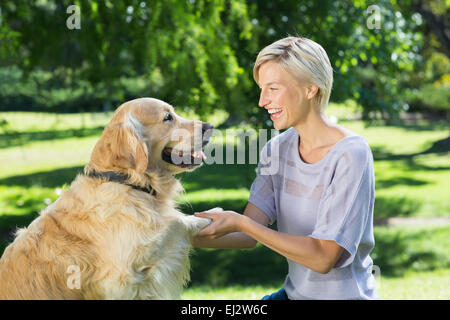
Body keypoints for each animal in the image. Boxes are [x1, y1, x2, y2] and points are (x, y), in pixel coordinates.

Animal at [0, 97, 214, 300]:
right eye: (168, 117)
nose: (210, 126)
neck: (125, 182)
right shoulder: (121, 280)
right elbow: (176, 222)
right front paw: (207, 218)